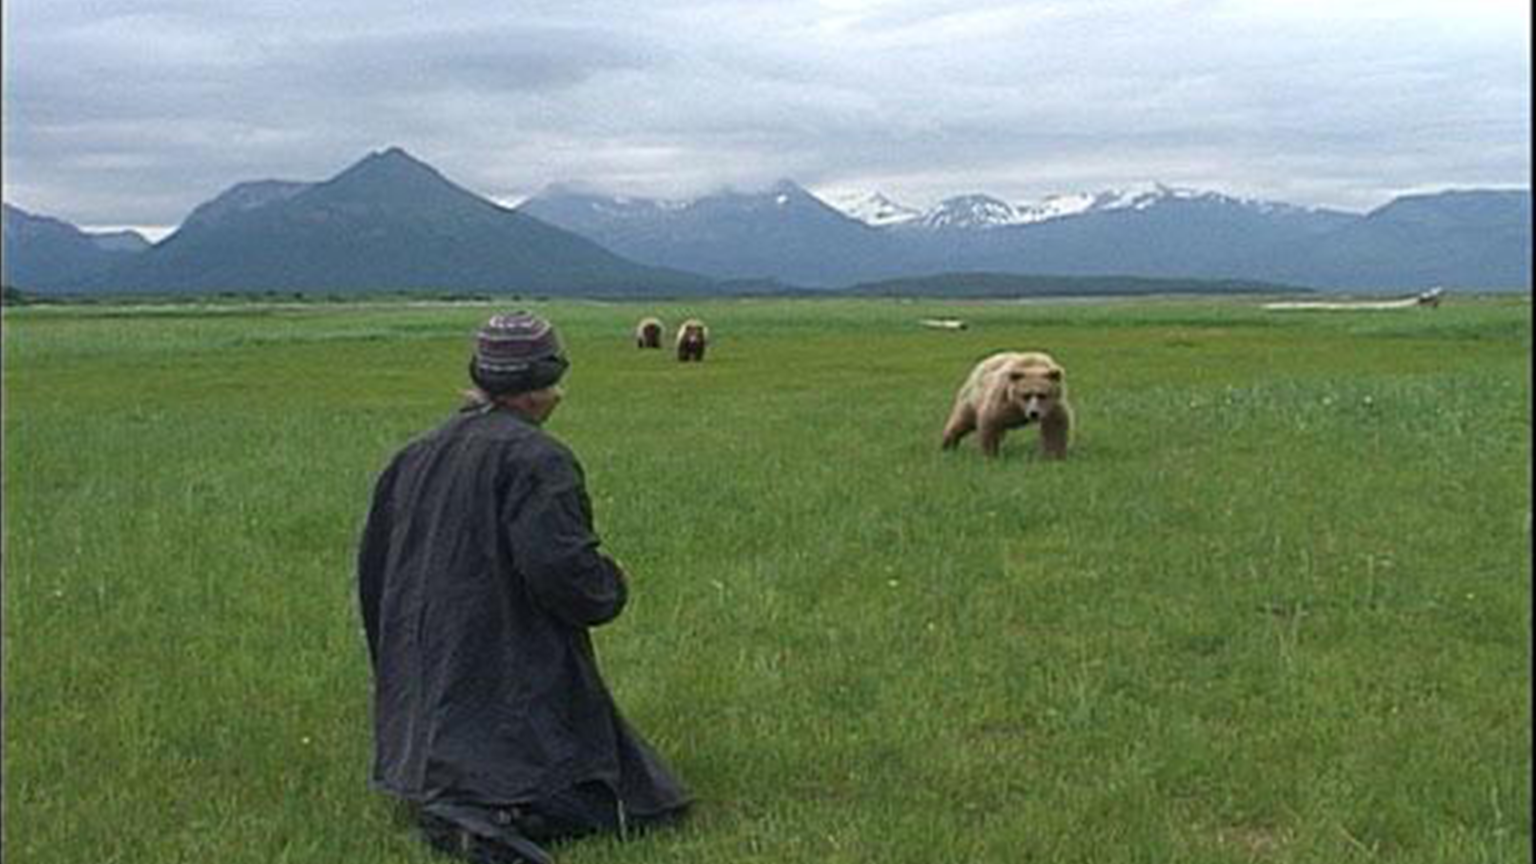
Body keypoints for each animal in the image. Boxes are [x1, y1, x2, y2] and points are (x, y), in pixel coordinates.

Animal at [940, 351, 1071, 459]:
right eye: (1026, 395)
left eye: (1042, 395)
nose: (1034, 413)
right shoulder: (1003, 398)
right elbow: (990, 421)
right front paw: (990, 455)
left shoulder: (1053, 406)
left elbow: (1055, 427)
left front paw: (1054, 456)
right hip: (973, 396)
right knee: (961, 420)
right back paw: (947, 444)